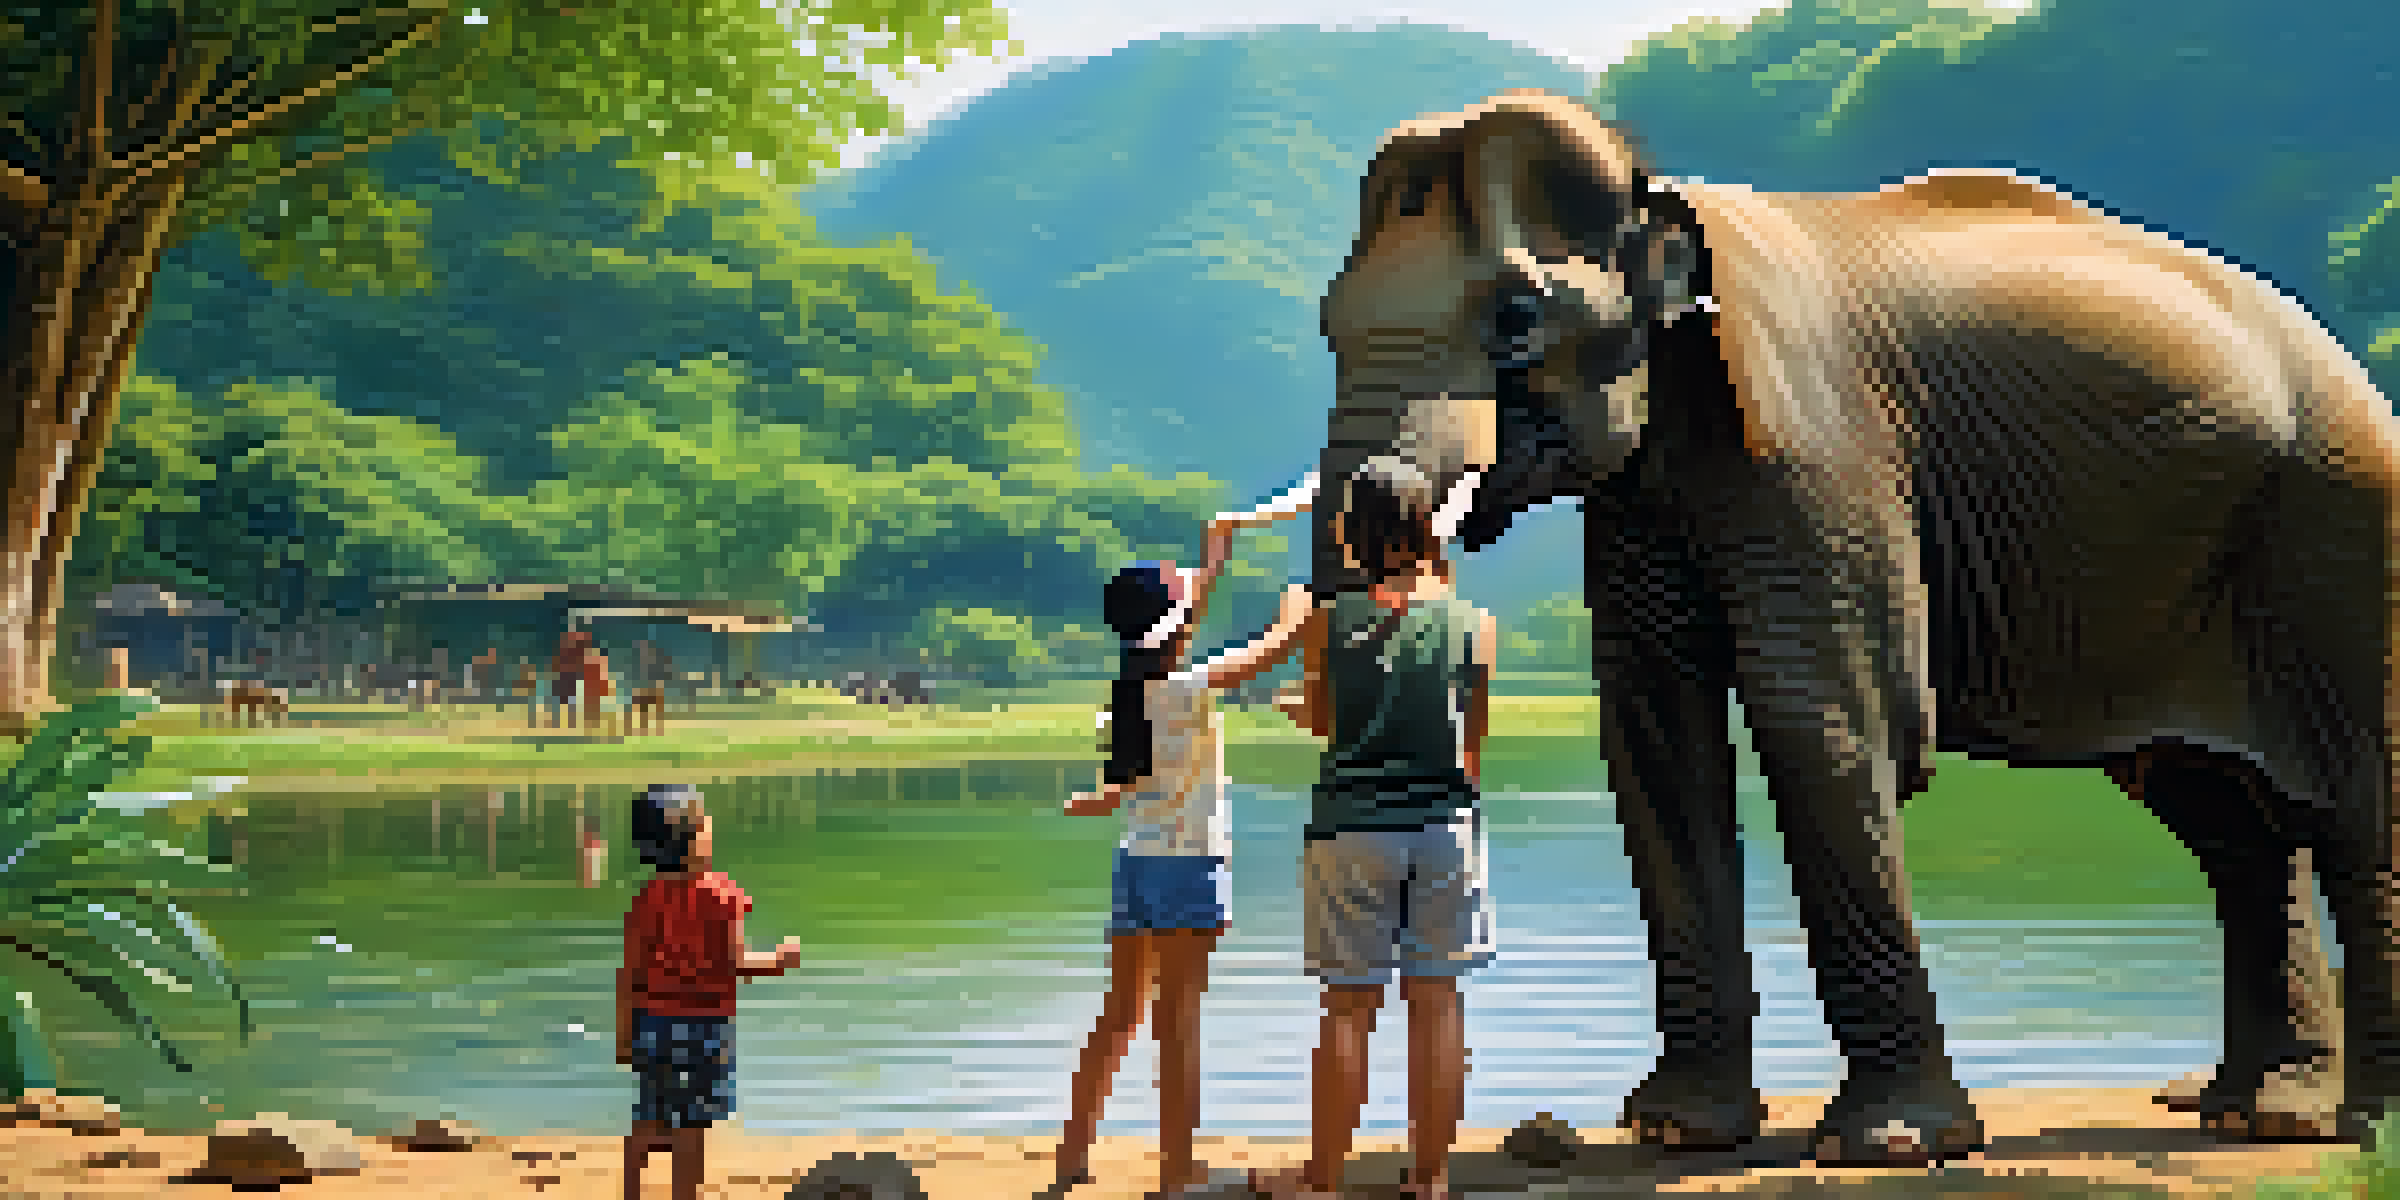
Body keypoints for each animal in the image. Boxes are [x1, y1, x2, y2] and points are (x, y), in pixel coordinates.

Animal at [1307, 89, 2400, 1165]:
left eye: (1516, 319)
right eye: (1326, 324)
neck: (1662, 193)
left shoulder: (1821, 452)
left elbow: (1821, 716)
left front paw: (1892, 1144)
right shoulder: (1643, 495)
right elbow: (1655, 729)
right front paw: (1679, 1131)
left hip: (2340, 522)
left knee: (2352, 798)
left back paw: (2358, 1124)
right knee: (2222, 816)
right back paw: (2259, 1114)